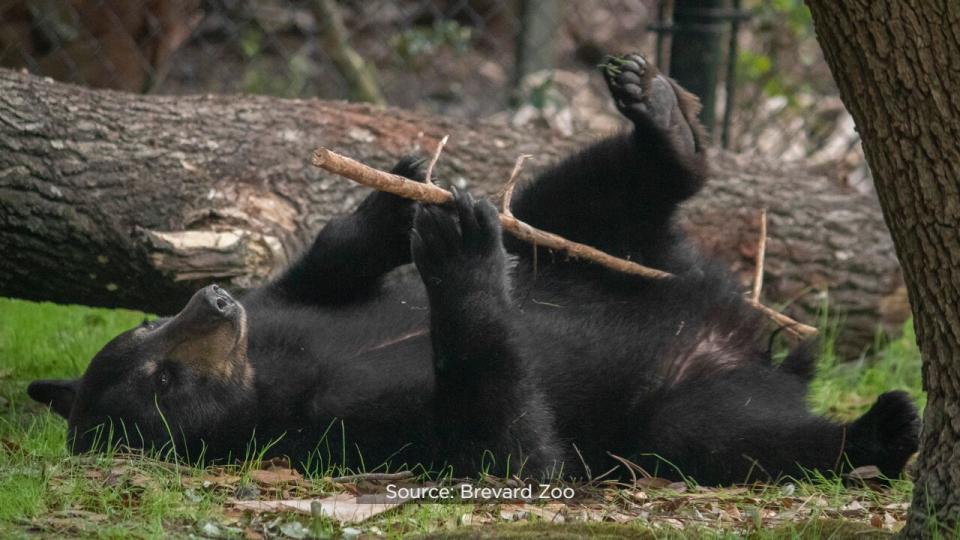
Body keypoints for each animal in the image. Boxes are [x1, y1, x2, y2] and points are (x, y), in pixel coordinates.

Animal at [24, 54, 924, 486]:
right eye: (164, 383)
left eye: (150, 324)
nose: (212, 301)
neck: (259, 371)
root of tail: (747, 341)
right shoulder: (333, 431)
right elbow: (508, 449)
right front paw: (454, 250)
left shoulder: (281, 313)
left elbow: (322, 273)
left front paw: (393, 199)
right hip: (678, 408)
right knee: (735, 438)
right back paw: (882, 429)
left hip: (608, 258)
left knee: (574, 203)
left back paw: (661, 117)